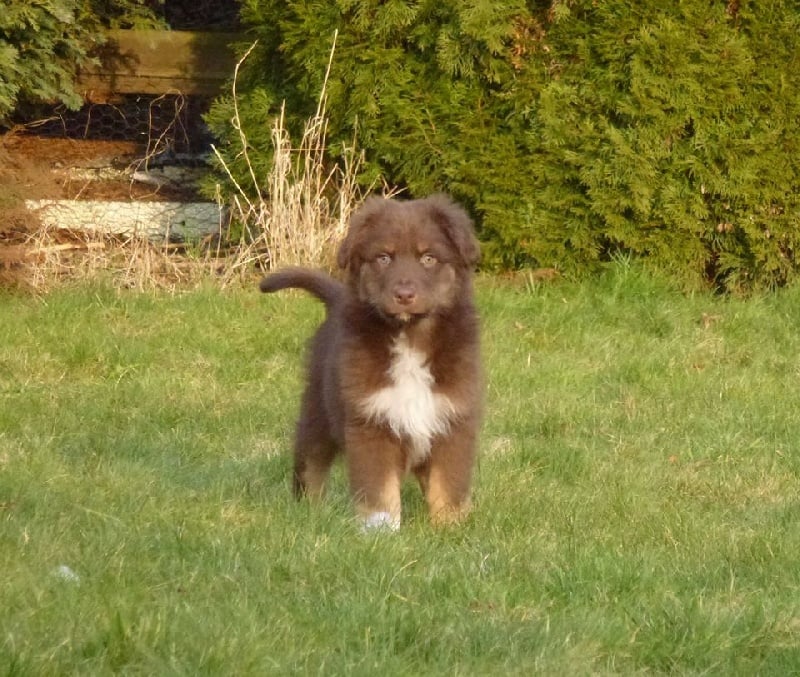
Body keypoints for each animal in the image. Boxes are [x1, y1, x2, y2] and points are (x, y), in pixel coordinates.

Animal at [260, 193, 482, 532]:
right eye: (383, 258)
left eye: (428, 258)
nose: (404, 294)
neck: (409, 337)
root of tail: (336, 298)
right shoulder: (370, 421)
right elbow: (380, 490)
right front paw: (381, 531)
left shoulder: (452, 420)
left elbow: (448, 485)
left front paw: (449, 528)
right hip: (318, 410)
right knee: (310, 463)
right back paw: (307, 510)